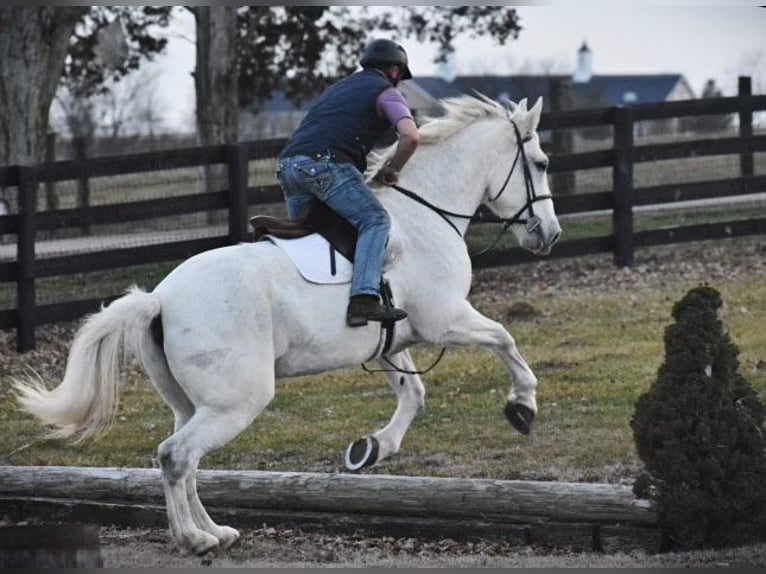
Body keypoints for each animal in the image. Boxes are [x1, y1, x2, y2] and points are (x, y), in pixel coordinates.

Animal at [13, 95, 564, 560]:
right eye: (540, 163)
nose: (550, 235)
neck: (425, 213)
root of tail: (160, 298)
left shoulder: (391, 337)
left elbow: (413, 393)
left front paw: (373, 448)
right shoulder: (445, 319)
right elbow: (506, 339)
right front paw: (523, 407)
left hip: (194, 404)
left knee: (185, 460)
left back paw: (215, 531)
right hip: (238, 401)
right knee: (176, 456)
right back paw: (195, 539)